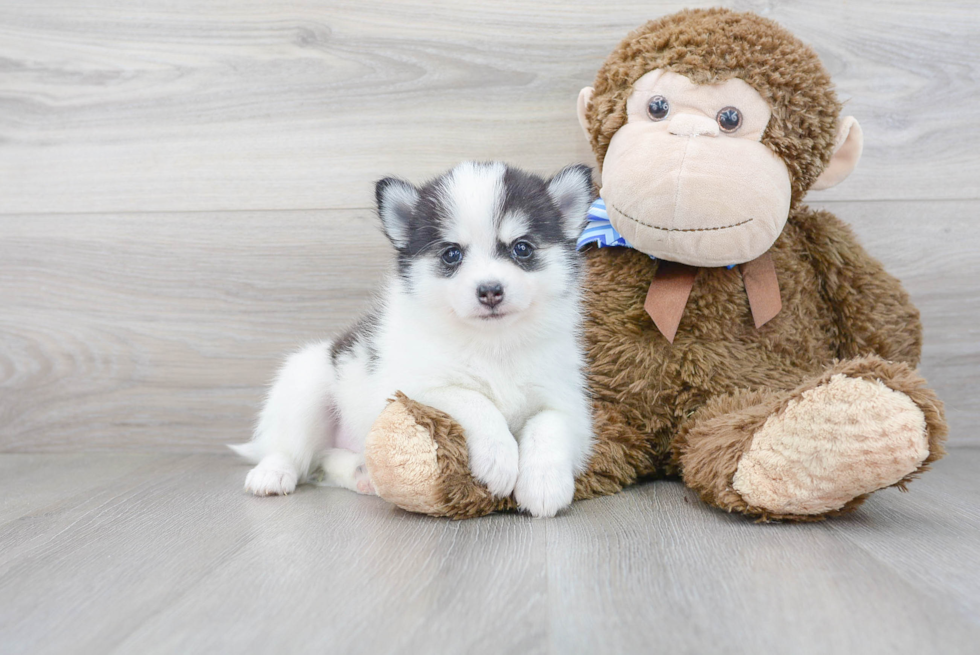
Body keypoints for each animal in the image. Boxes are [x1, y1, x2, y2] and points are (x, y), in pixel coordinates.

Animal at [234, 163, 592, 516]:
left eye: (522, 248)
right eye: (451, 254)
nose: (490, 290)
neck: (494, 344)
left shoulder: (568, 402)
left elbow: (550, 425)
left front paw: (545, 483)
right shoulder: (417, 387)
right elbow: (475, 401)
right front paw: (498, 458)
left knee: (323, 462)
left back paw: (361, 473)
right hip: (305, 384)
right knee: (290, 448)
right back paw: (273, 473)